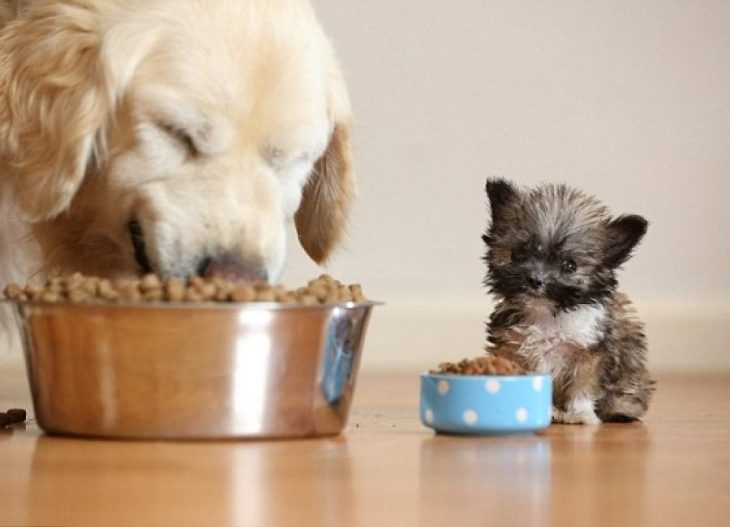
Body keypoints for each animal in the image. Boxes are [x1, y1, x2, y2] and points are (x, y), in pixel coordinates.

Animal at [480, 179, 652, 426]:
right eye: (519, 255)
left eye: (570, 265)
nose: (535, 280)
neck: (546, 315)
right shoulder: (512, 349)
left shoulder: (588, 355)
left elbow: (582, 387)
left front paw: (581, 413)